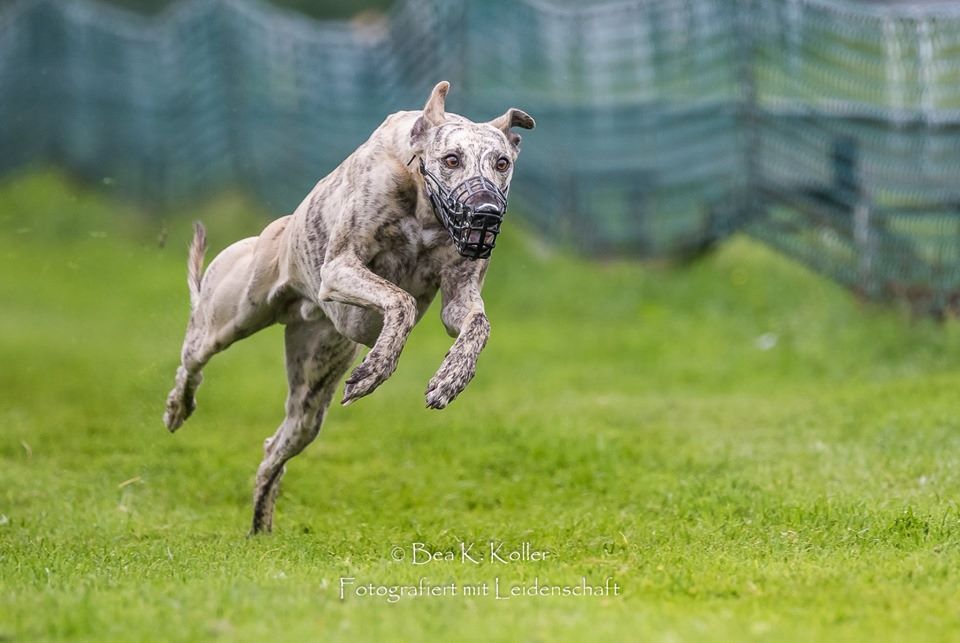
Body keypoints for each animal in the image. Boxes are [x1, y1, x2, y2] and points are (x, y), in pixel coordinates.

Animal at [159, 82, 532, 532]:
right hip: (229, 317)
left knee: (273, 451)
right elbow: (402, 300)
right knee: (192, 361)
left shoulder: (459, 297)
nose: (486, 213)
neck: (423, 204)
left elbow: (477, 325)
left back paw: (261, 526)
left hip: (311, 399)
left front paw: (451, 379)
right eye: (451, 159)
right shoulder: (339, 268)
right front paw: (376, 369)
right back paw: (178, 407)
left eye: (501, 163)